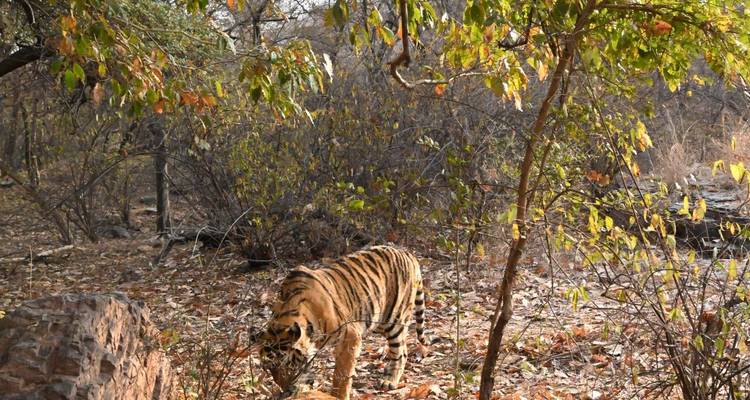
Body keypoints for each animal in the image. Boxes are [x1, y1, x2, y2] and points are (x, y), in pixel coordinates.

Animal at [252, 245, 429, 400]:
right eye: (270, 370)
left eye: (287, 365)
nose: (287, 391)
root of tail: (407, 252)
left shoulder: (350, 336)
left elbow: (341, 375)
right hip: (376, 320)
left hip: (394, 319)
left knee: (402, 351)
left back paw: (390, 381)